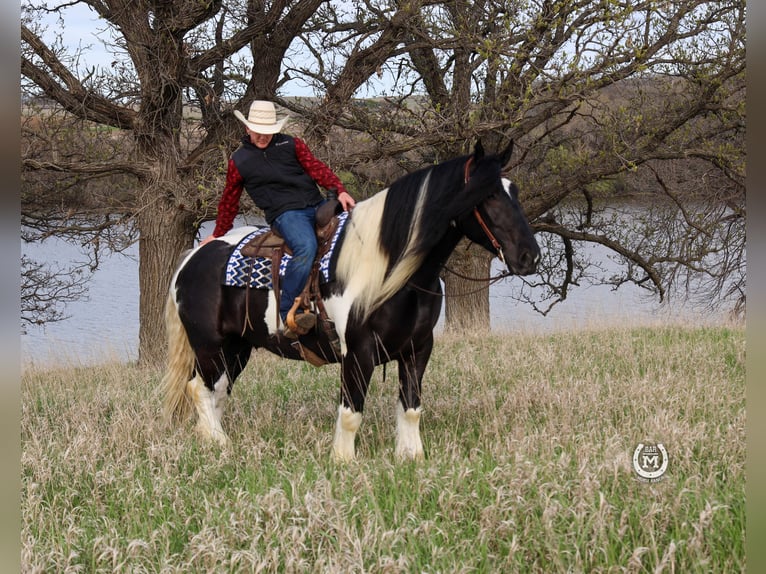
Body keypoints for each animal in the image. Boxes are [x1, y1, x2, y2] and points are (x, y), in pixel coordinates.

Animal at [162, 143, 540, 464]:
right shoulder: (358, 351)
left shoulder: (418, 348)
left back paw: (209, 438)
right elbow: (351, 413)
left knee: (217, 390)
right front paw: (343, 461)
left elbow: (411, 408)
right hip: (209, 345)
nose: (530, 256)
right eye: (488, 195)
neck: (389, 269)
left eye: (514, 192)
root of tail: (193, 259)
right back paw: (219, 442)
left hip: (237, 347)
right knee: (200, 388)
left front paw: (412, 457)